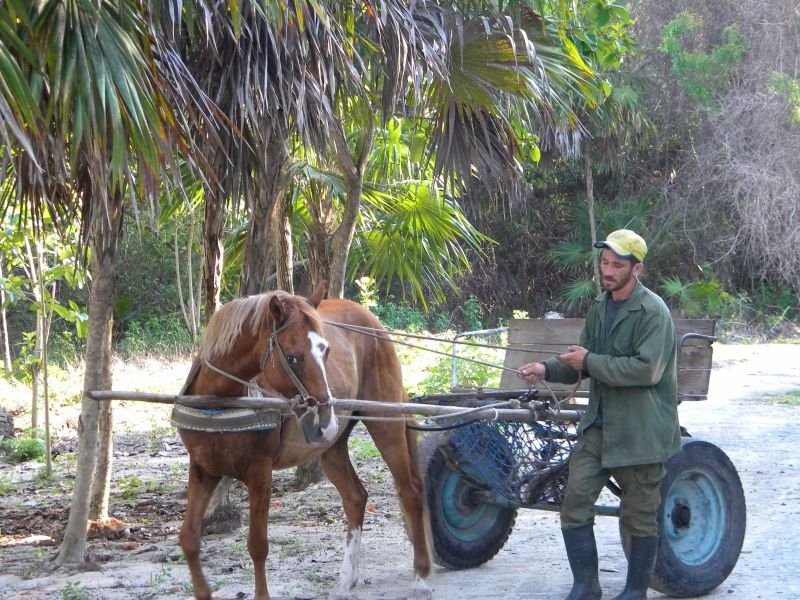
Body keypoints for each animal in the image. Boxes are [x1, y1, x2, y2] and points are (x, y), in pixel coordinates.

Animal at [176, 286, 432, 600]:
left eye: (327, 351)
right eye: (293, 359)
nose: (324, 419)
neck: (220, 401)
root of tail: (374, 324)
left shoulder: (259, 473)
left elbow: (257, 545)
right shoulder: (203, 469)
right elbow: (189, 539)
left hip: (384, 421)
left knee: (411, 491)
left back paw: (420, 576)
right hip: (331, 447)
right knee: (355, 498)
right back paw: (347, 578)